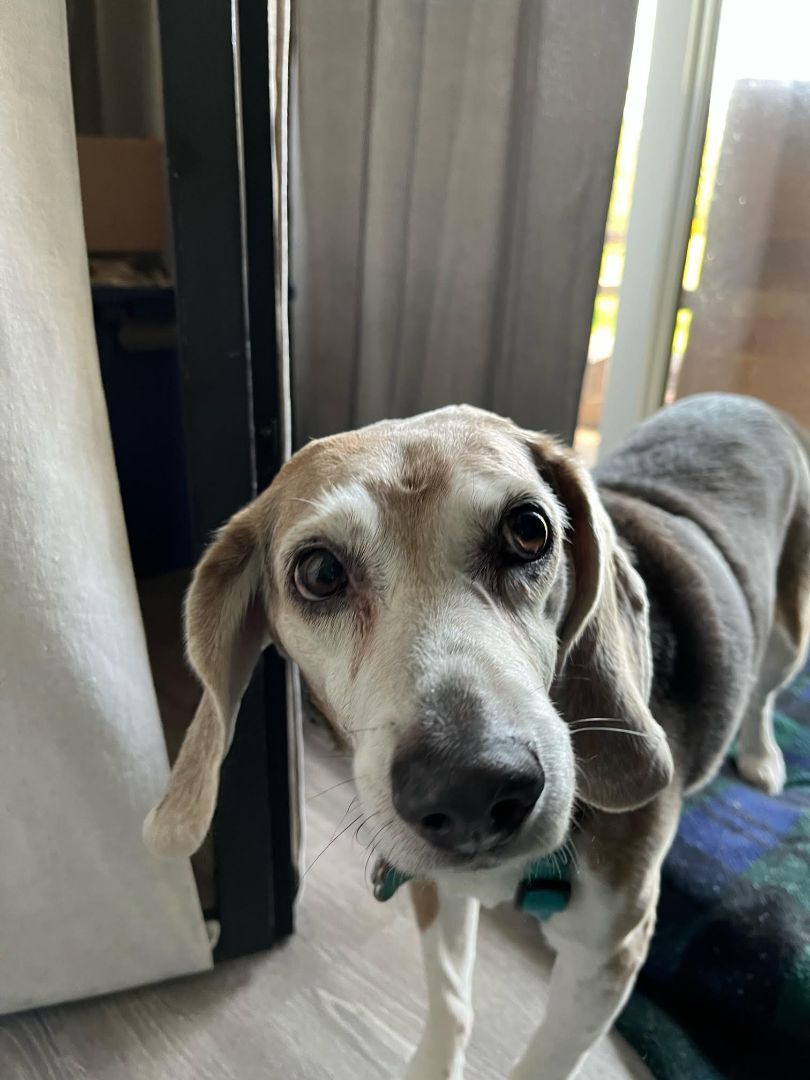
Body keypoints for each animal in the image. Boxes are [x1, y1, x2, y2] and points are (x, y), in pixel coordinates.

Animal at [144, 393, 810, 1075]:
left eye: (529, 530)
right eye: (321, 571)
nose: (470, 788)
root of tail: (740, 401)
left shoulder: (610, 952)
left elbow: (544, 1060)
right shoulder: (432, 886)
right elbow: (450, 1002)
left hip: (789, 634)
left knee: (765, 694)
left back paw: (762, 757)